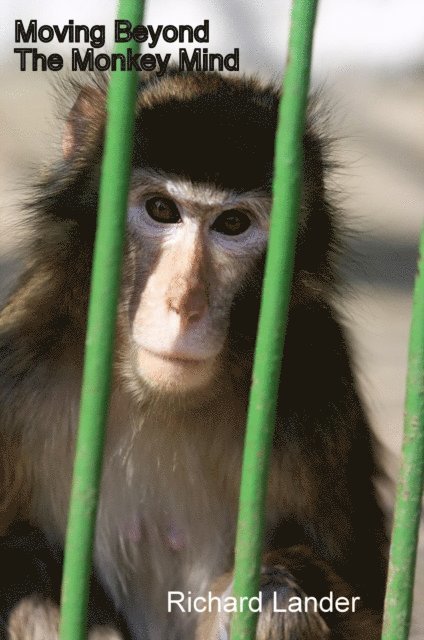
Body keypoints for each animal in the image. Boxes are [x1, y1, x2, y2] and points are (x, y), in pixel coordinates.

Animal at [0, 70, 388, 639]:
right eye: (161, 210)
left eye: (233, 224)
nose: (183, 304)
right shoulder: (16, 368)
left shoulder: (319, 387)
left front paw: (259, 592)